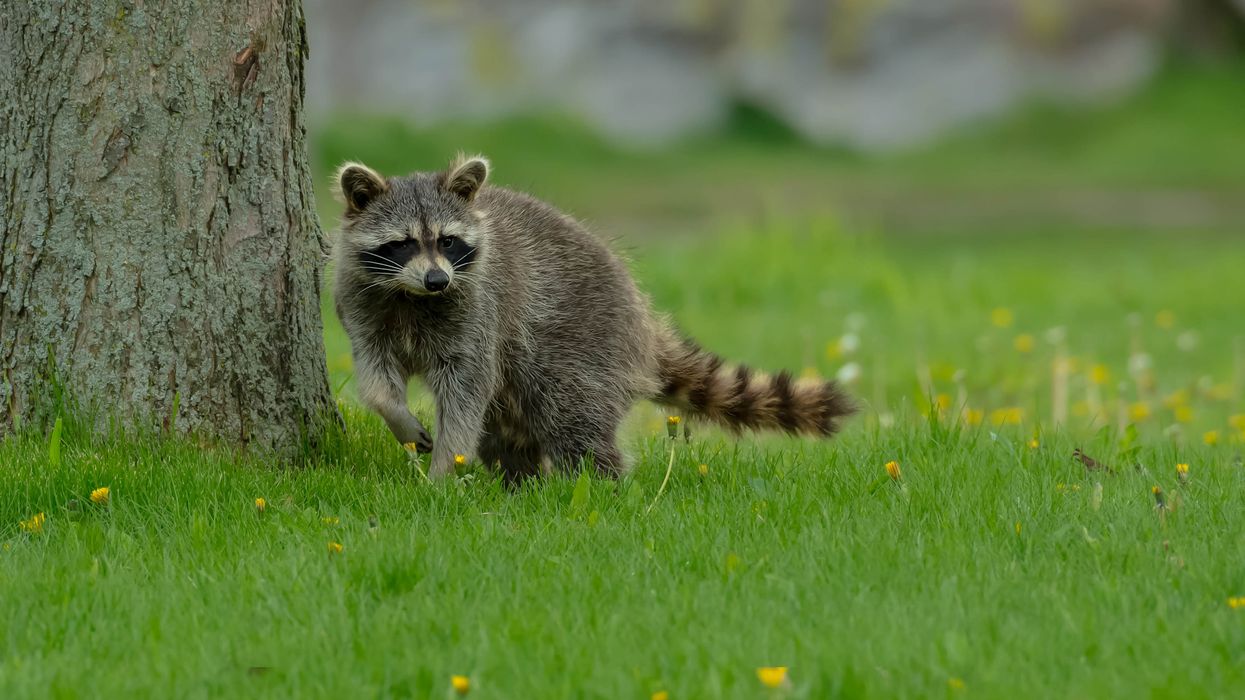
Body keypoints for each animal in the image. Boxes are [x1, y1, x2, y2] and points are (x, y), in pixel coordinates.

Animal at [331, 155, 856, 481]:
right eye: (402, 243)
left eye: (447, 240)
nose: (438, 280)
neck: (410, 295)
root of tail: (642, 318)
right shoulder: (363, 307)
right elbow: (376, 379)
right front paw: (398, 417)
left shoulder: (478, 311)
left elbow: (467, 390)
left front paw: (444, 469)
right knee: (507, 433)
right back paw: (520, 482)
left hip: (586, 339)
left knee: (572, 417)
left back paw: (602, 483)